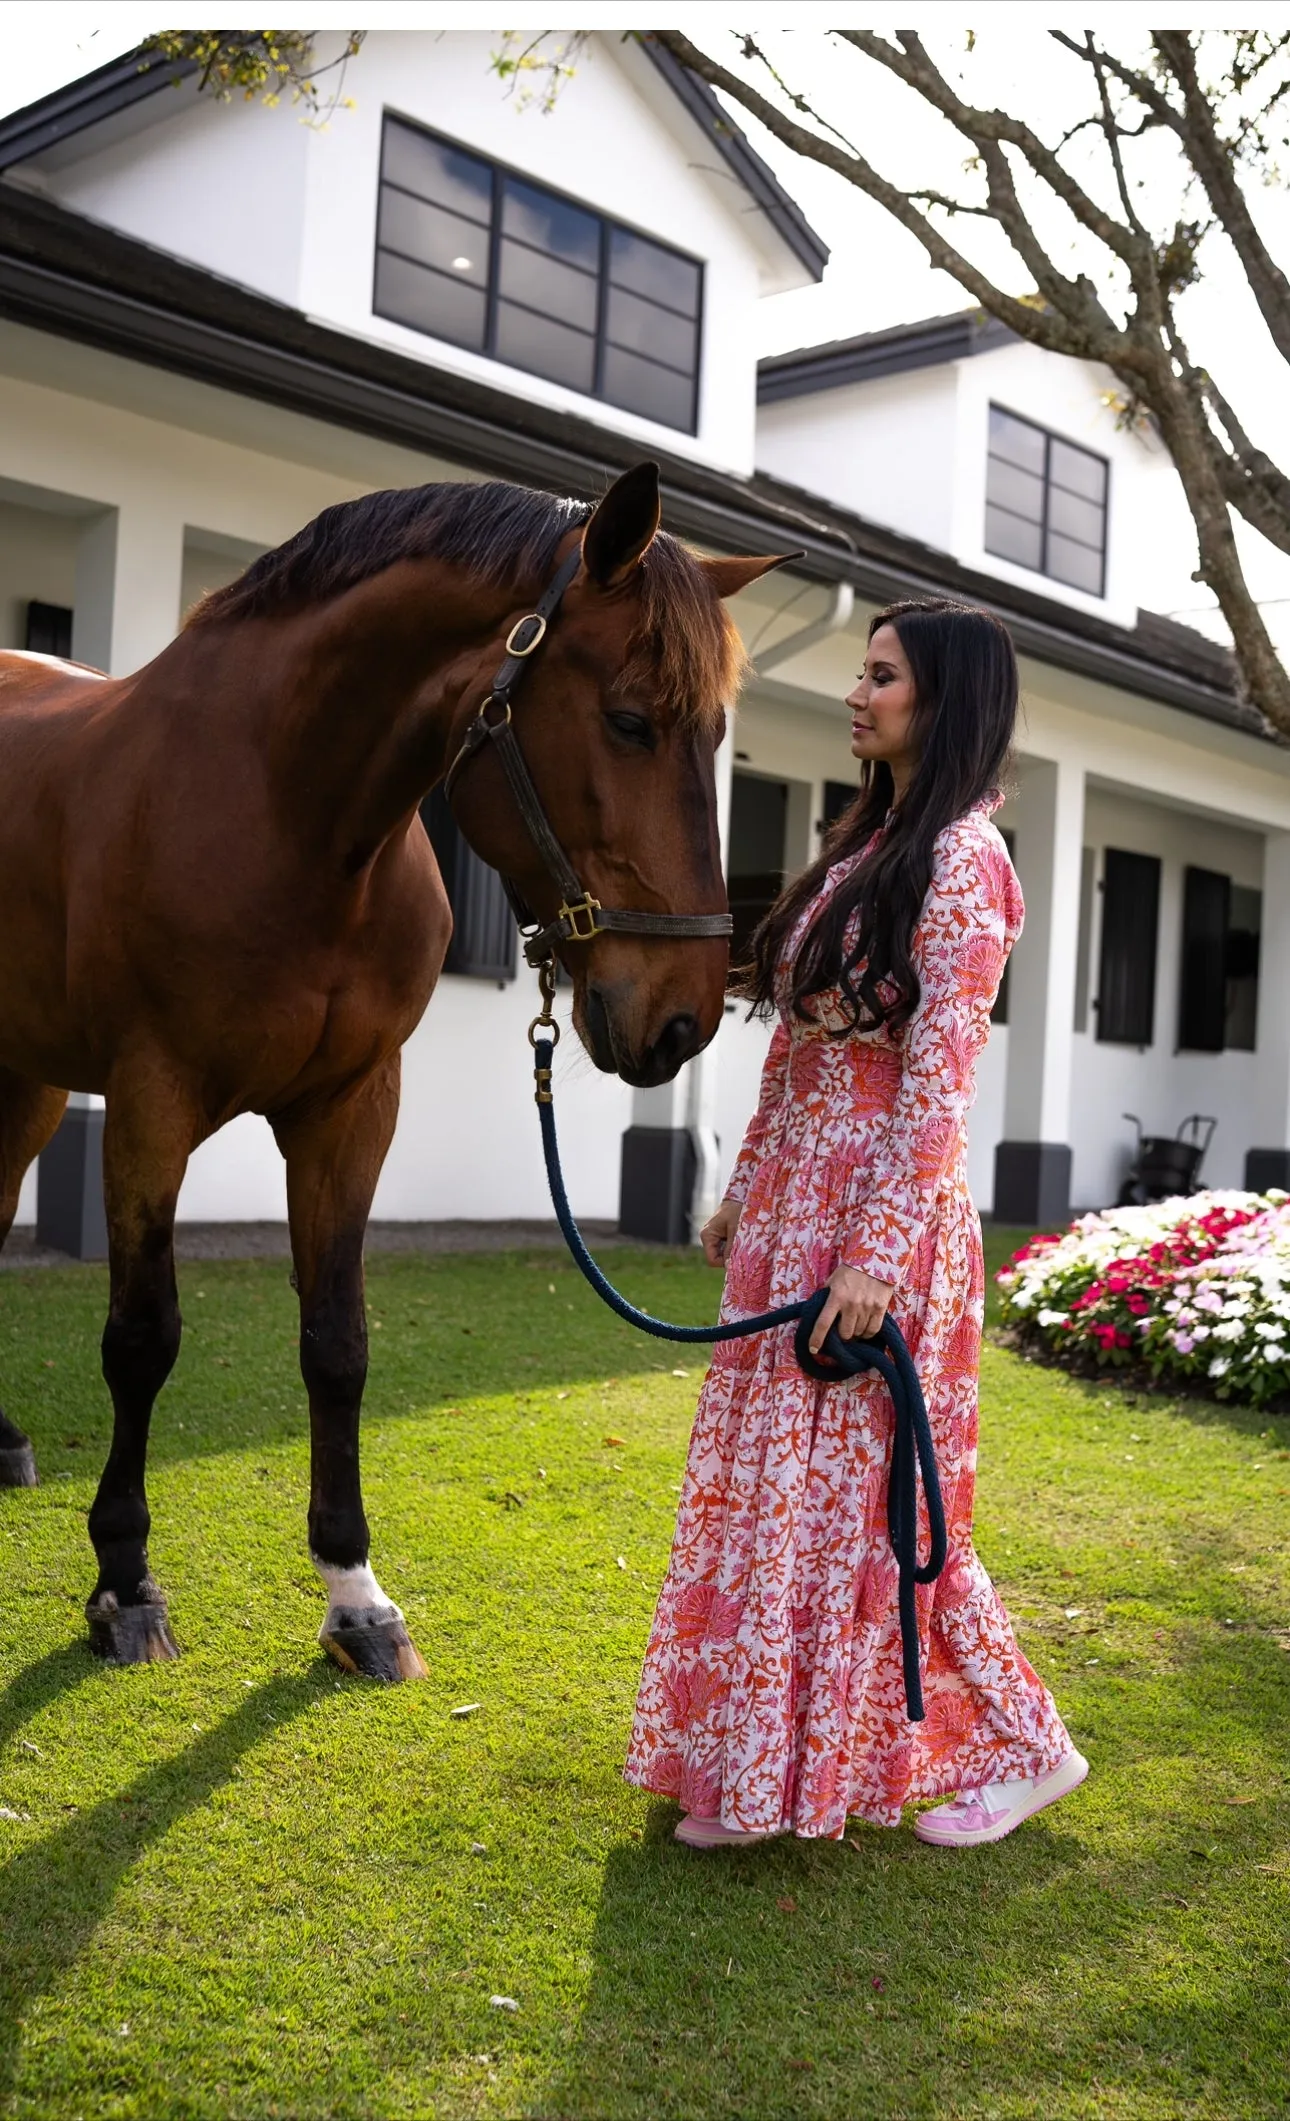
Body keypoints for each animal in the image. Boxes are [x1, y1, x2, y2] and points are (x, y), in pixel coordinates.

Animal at [0, 460, 785, 1671]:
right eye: (629, 720)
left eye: (715, 740)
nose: (684, 1018)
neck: (288, 818)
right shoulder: (148, 1102)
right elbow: (141, 1338)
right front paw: (125, 1581)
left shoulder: (353, 1107)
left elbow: (338, 1344)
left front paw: (355, 1596)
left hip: (30, 1075)